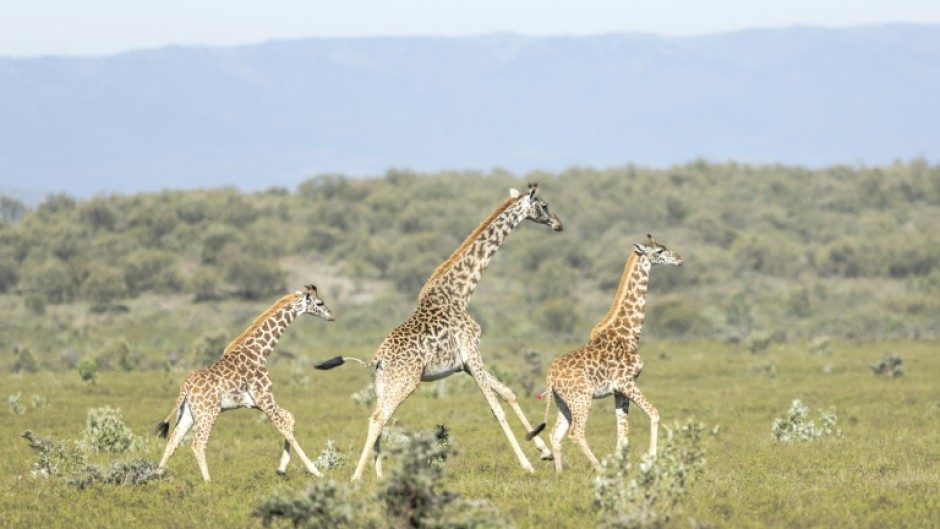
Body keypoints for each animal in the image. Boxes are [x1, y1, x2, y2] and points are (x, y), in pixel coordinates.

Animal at [154, 284, 335, 482]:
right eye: (320, 303)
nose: (331, 316)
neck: (259, 353)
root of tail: (185, 387)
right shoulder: (265, 398)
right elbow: (284, 427)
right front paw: (315, 471)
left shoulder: (256, 402)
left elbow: (290, 419)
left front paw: (281, 468)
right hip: (208, 413)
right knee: (197, 444)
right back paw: (208, 482)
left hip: (187, 412)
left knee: (173, 441)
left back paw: (155, 476)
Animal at [316, 183, 563, 480]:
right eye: (545, 205)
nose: (559, 224)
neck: (461, 292)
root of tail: (378, 357)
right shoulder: (472, 355)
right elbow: (496, 409)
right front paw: (527, 464)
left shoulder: (465, 365)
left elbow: (508, 392)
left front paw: (544, 450)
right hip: (406, 382)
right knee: (377, 419)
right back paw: (356, 477)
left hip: (382, 384)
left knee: (379, 418)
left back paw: (380, 477)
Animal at [528, 234, 683, 473]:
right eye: (659, 251)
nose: (679, 258)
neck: (629, 334)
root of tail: (550, 376)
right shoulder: (626, 382)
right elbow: (654, 414)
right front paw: (652, 460)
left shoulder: (619, 390)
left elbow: (623, 432)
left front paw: (621, 466)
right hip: (581, 398)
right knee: (576, 433)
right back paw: (599, 468)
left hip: (563, 402)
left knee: (556, 434)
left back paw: (560, 473)